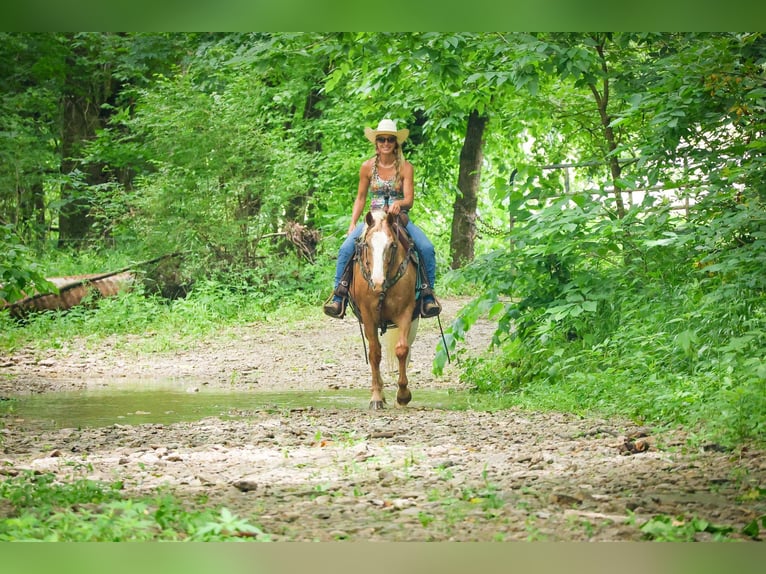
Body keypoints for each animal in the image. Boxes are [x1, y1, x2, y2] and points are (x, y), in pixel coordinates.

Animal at [349, 210, 419, 410]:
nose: (377, 282)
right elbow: (374, 353)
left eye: (392, 245)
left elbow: (402, 349)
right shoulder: (368, 316)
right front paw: (377, 397)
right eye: (367, 245)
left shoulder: (406, 312)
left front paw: (403, 395)